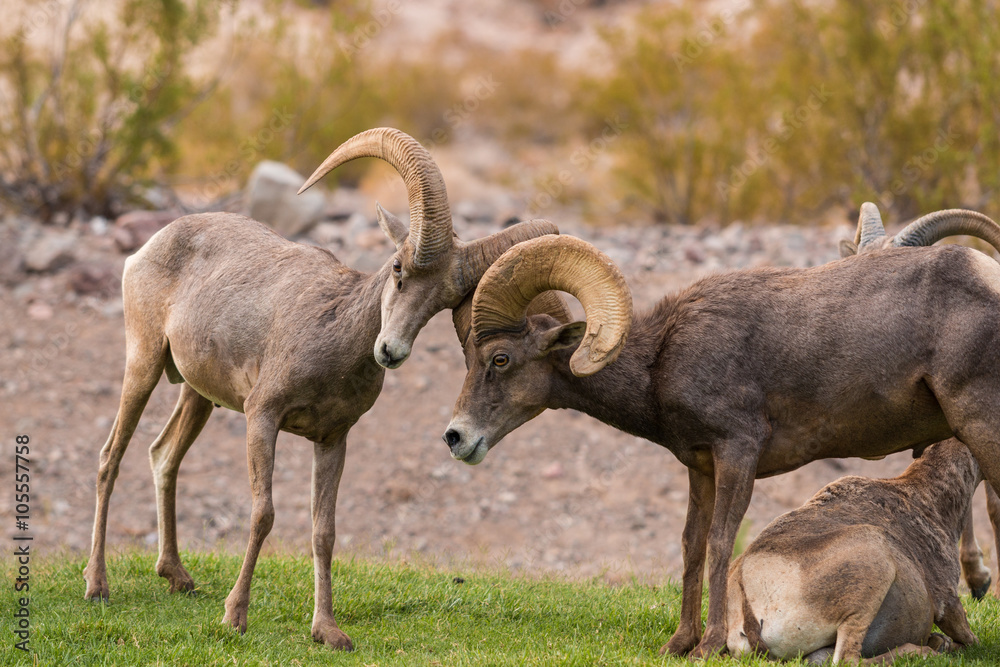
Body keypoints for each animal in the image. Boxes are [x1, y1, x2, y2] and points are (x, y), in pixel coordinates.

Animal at [81, 128, 560, 648]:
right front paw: (235, 617)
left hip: (197, 395)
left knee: (163, 455)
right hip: (144, 363)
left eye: (445, 299)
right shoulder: (262, 417)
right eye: (398, 267)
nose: (390, 350)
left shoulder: (332, 440)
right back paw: (97, 585)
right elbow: (264, 513)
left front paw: (328, 631)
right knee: (110, 457)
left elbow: (323, 531)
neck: (333, 336)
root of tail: (149, 246)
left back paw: (177, 577)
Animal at [724, 438, 980, 664]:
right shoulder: (948, 600)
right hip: (872, 559)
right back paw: (922, 652)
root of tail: (747, 606)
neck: (928, 502)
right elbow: (971, 640)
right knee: (847, 659)